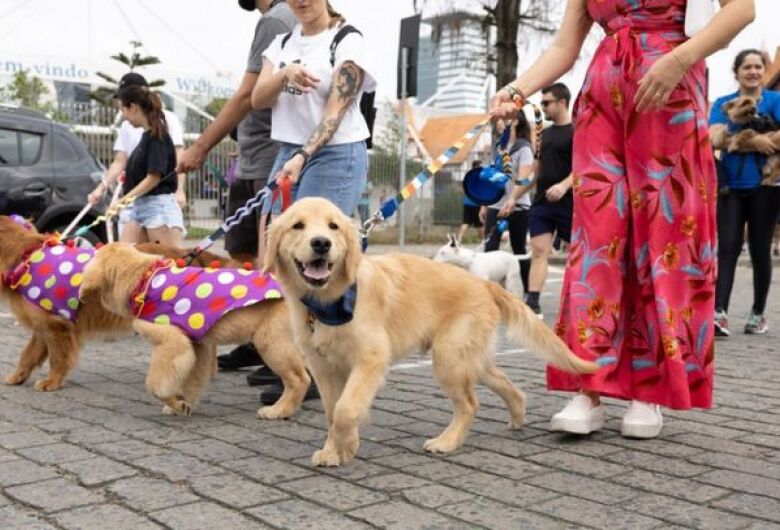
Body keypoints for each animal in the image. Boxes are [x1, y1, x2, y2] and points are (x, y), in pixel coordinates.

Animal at [0, 214, 250, 392]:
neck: (25, 256)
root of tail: (187, 252)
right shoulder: (43, 326)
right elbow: (28, 354)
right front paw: (17, 376)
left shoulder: (57, 326)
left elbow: (57, 358)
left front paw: (52, 382)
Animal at [262, 196, 596, 464]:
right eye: (297, 226)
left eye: (333, 227)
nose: (321, 243)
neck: (330, 302)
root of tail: (482, 283)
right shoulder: (324, 367)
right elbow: (334, 412)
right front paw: (338, 450)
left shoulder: (370, 359)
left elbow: (346, 409)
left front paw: (342, 447)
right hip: (469, 357)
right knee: (505, 383)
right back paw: (517, 416)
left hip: (449, 356)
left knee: (469, 404)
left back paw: (446, 442)